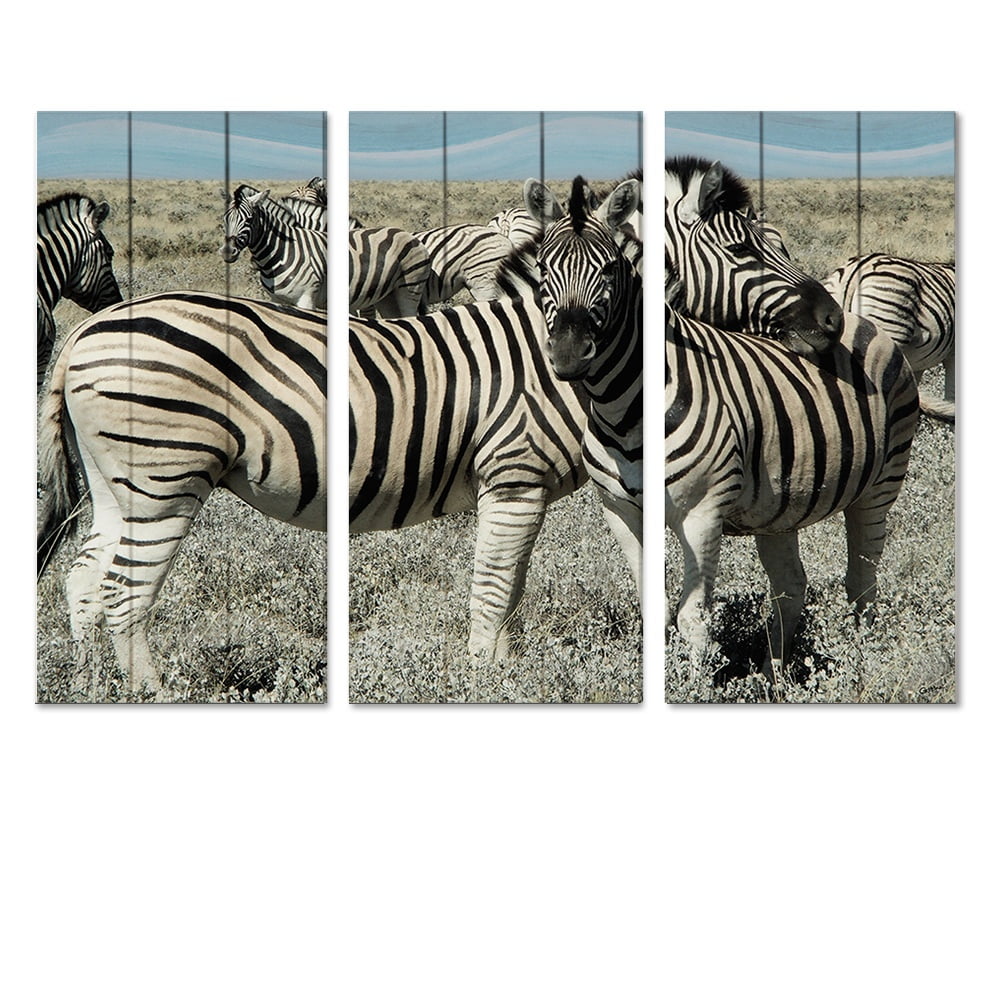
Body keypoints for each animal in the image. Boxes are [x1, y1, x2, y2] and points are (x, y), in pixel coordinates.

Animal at [36, 291, 326, 698]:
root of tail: (78, 336)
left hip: (107, 485)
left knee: (83, 579)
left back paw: (84, 686)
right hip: (164, 480)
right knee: (124, 592)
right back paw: (151, 691)